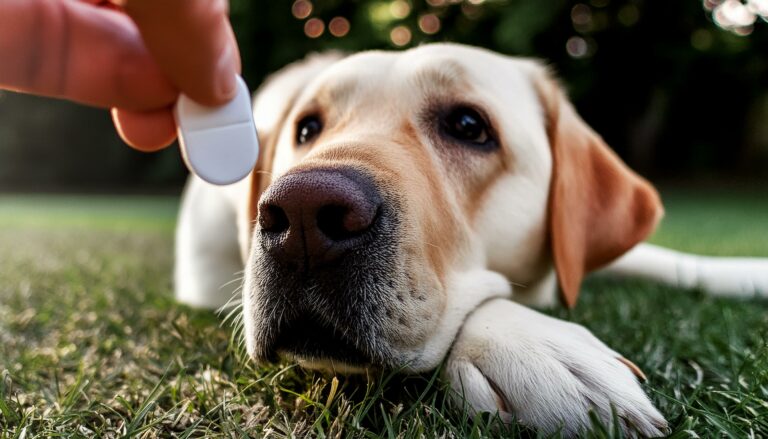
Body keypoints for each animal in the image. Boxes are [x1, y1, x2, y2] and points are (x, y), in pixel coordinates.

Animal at [174, 43, 768, 436]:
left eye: (467, 125)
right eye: (307, 129)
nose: (301, 212)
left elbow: (670, 260)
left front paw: (747, 272)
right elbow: (486, 300)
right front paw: (536, 347)